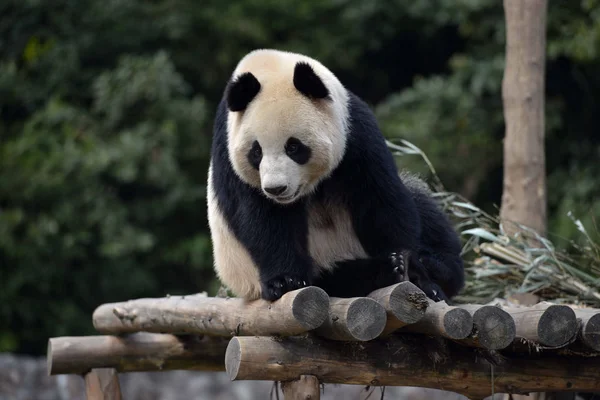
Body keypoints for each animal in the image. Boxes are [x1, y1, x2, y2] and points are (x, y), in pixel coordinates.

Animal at [206, 48, 464, 302]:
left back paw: (429, 265)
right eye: (256, 152)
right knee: (338, 279)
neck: (268, 66)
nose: (276, 189)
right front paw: (285, 281)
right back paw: (381, 270)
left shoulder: (354, 130)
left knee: (422, 204)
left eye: (293, 147)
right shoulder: (229, 150)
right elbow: (263, 217)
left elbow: (380, 199)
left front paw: (413, 269)